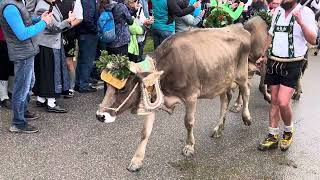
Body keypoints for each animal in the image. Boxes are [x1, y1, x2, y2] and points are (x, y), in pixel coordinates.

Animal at [94, 17, 264, 172]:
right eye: (107, 86)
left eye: (123, 88)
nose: (100, 116)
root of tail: (239, 27)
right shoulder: (154, 98)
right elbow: (145, 132)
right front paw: (136, 160)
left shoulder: (191, 96)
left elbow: (188, 122)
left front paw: (189, 146)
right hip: (222, 80)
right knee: (224, 101)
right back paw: (218, 128)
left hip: (241, 74)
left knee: (246, 91)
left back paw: (246, 117)